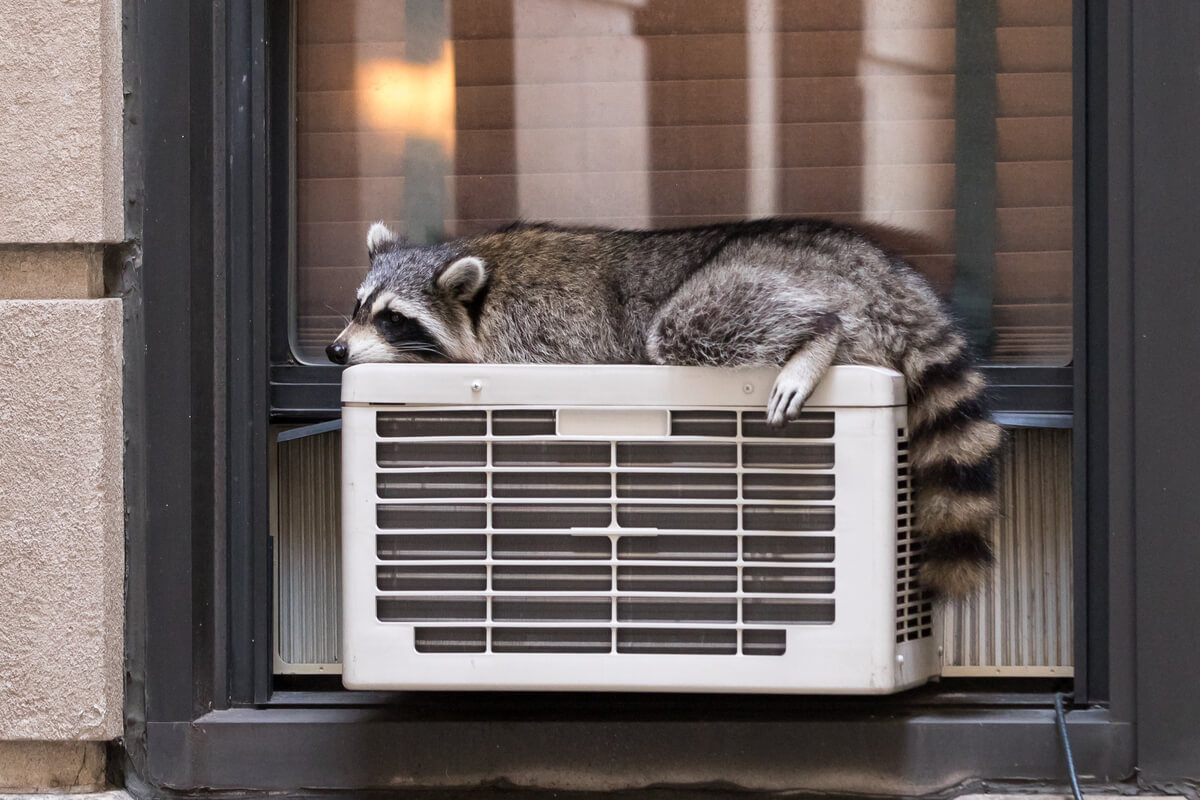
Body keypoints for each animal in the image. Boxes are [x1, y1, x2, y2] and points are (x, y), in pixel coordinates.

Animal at [331, 219, 1003, 599]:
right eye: (359, 305)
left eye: (393, 319)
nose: (337, 350)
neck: (480, 282)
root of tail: (878, 269)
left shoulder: (540, 330)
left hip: (762, 281)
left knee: (690, 324)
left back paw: (817, 337)